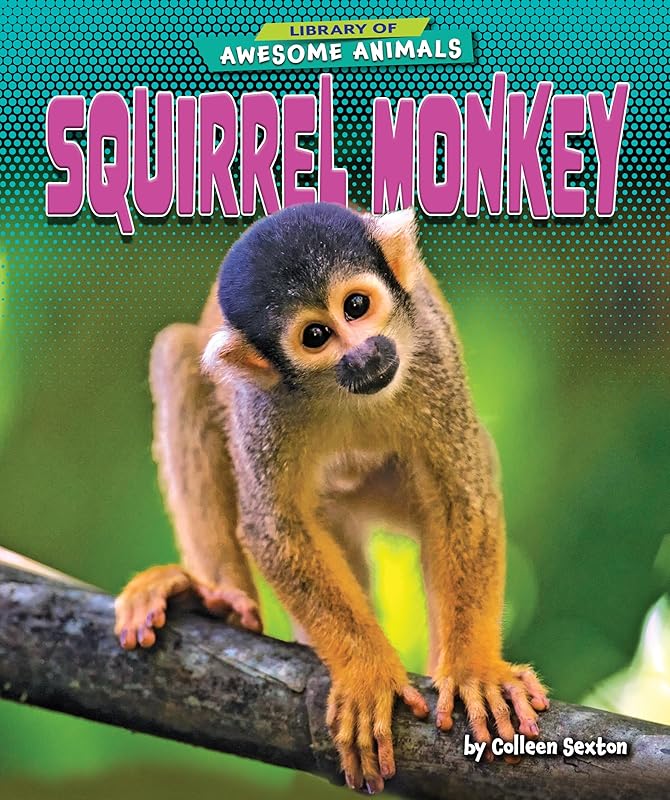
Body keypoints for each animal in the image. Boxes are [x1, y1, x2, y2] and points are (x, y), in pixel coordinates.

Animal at [114, 202, 549, 793]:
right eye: (316, 335)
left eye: (357, 306)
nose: (362, 355)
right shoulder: (261, 405)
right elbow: (272, 527)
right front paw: (367, 674)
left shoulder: (430, 353)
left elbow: (461, 496)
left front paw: (474, 671)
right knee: (177, 357)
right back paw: (215, 596)